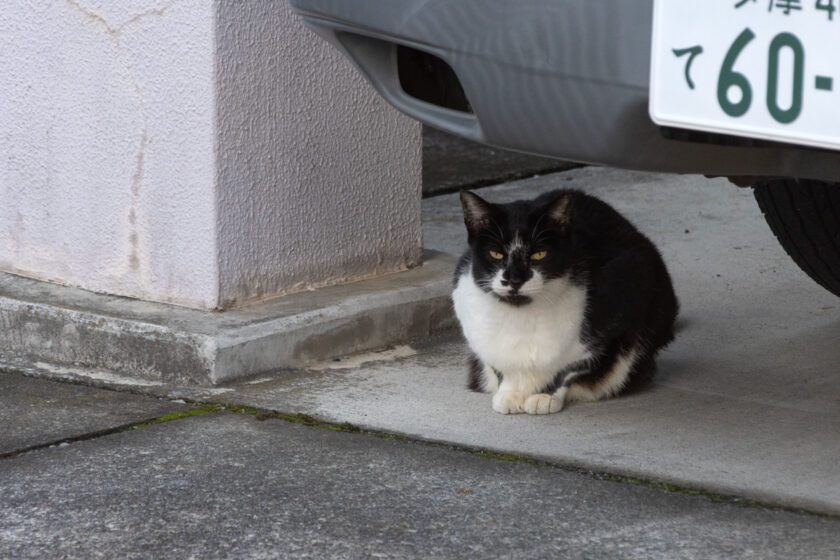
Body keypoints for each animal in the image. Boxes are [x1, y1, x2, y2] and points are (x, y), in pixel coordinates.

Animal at [452, 190, 676, 414]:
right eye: (496, 253)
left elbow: (571, 367)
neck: (521, 317)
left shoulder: (624, 295)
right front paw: (509, 393)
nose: (515, 280)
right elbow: (497, 363)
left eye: (539, 254)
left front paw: (544, 396)